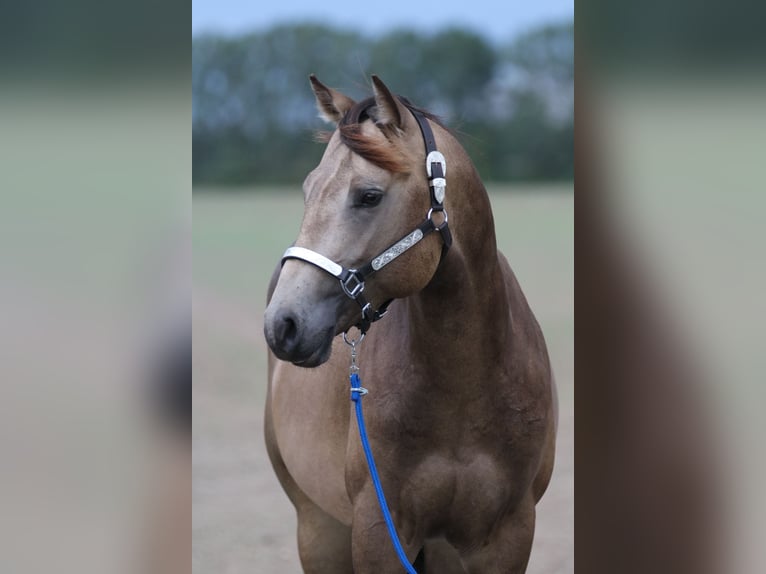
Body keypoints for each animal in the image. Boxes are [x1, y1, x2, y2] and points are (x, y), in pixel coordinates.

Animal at [263, 74, 557, 573]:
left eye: (369, 195)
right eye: (308, 190)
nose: (283, 324)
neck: (465, 384)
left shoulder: (509, 535)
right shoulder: (378, 529)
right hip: (318, 528)